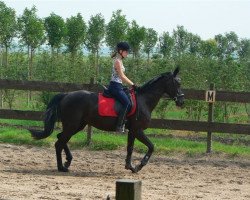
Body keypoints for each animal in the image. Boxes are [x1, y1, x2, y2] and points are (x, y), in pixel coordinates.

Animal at [30, 67, 185, 172]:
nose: (181, 101)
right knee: (59, 143)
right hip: (72, 125)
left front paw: (130, 166)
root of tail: (66, 95)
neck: (144, 100)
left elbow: (130, 148)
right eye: (178, 83)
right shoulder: (137, 130)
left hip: (77, 125)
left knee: (60, 139)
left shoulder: (132, 131)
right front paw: (140, 165)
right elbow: (151, 146)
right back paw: (61, 167)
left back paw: (67, 162)